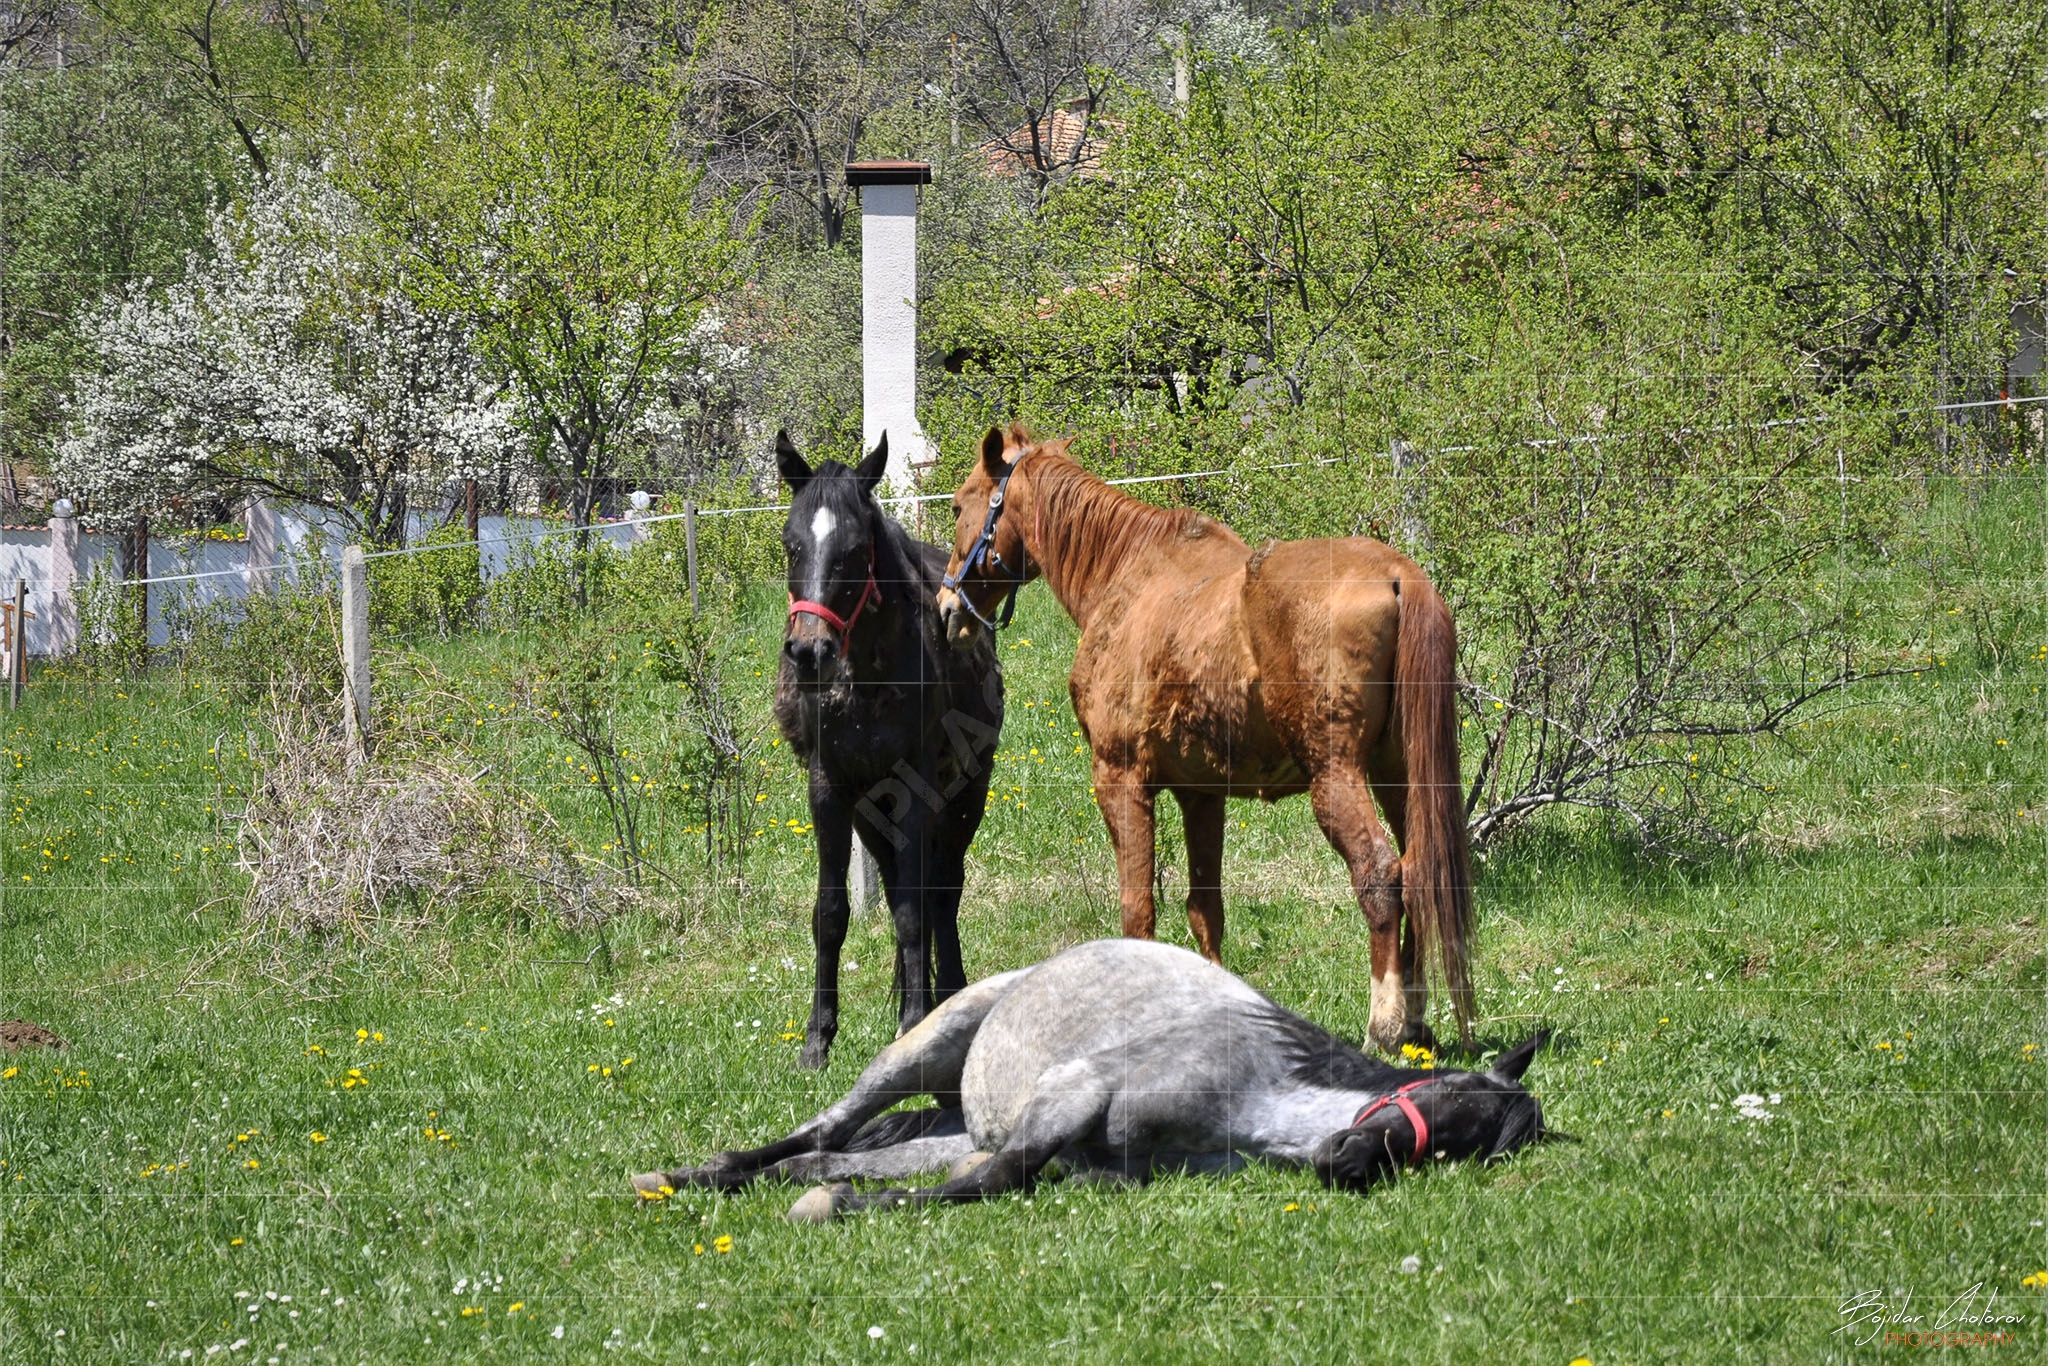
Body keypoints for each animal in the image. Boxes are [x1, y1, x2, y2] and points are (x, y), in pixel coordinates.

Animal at [630, 942, 1540, 1220]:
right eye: (1441, 1104)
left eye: (1452, 1152)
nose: (1344, 1162)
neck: (1253, 1090)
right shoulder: (1074, 1093)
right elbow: (999, 1178)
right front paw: (846, 1212)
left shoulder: (1100, 1164)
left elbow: (1002, 1177)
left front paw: (839, 1203)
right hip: (920, 1052)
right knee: (823, 1129)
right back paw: (686, 1176)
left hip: (946, 1129)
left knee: (823, 1156)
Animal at [770, 432, 1003, 1073]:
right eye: (792, 544)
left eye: (854, 550)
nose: (809, 653)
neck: (868, 682)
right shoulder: (831, 792)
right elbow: (831, 914)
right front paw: (817, 1039)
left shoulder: (917, 792)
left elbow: (917, 910)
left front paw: (914, 1022)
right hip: (873, 817)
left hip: (964, 798)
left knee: (942, 893)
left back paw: (946, 994)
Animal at [942, 428, 1474, 1048]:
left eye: (958, 505)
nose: (948, 607)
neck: (1127, 578)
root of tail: (1398, 574)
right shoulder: (1201, 795)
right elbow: (1205, 909)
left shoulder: (1120, 779)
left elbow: (1138, 911)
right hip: (1399, 775)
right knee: (1419, 871)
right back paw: (1413, 1020)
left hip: (1336, 777)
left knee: (1381, 874)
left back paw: (1385, 1025)